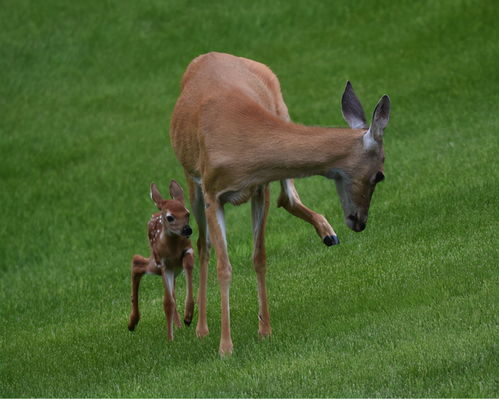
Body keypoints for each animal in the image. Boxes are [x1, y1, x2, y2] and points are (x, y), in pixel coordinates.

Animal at [170, 50, 392, 356]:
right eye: (380, 175)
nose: (360, 221)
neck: (242, 147)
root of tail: (210, 54)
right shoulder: (213, 194)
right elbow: (223, 266)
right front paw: (225, 346)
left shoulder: (259, 187)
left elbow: (259, 257)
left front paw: (265, 329)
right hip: (191, 179)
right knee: (203, 245)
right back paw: (198, 325)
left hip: (281, 108)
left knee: (286, 197)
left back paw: (328, 233)